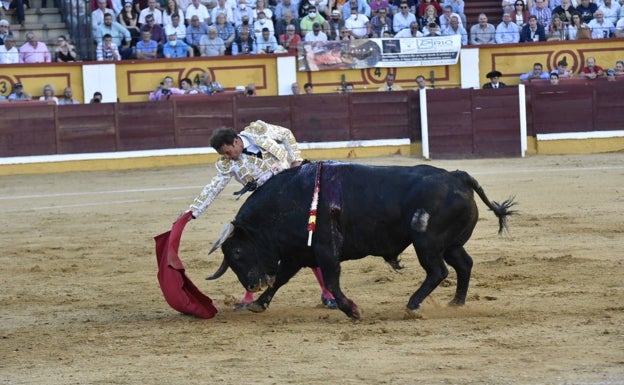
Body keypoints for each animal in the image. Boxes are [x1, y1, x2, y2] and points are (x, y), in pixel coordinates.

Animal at [207, 160, 516, 320]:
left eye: (236, 252)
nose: (251, 284)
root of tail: (457, 176)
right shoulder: (297, 253)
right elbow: (282, 278)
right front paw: (259, 303)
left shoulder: (325, 249)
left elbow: (332, 280)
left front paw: (352, 310)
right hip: (450, 244)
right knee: (463, 264)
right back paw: (456, 303)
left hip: (427, 243)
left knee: (438, 271)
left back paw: (413, 305)